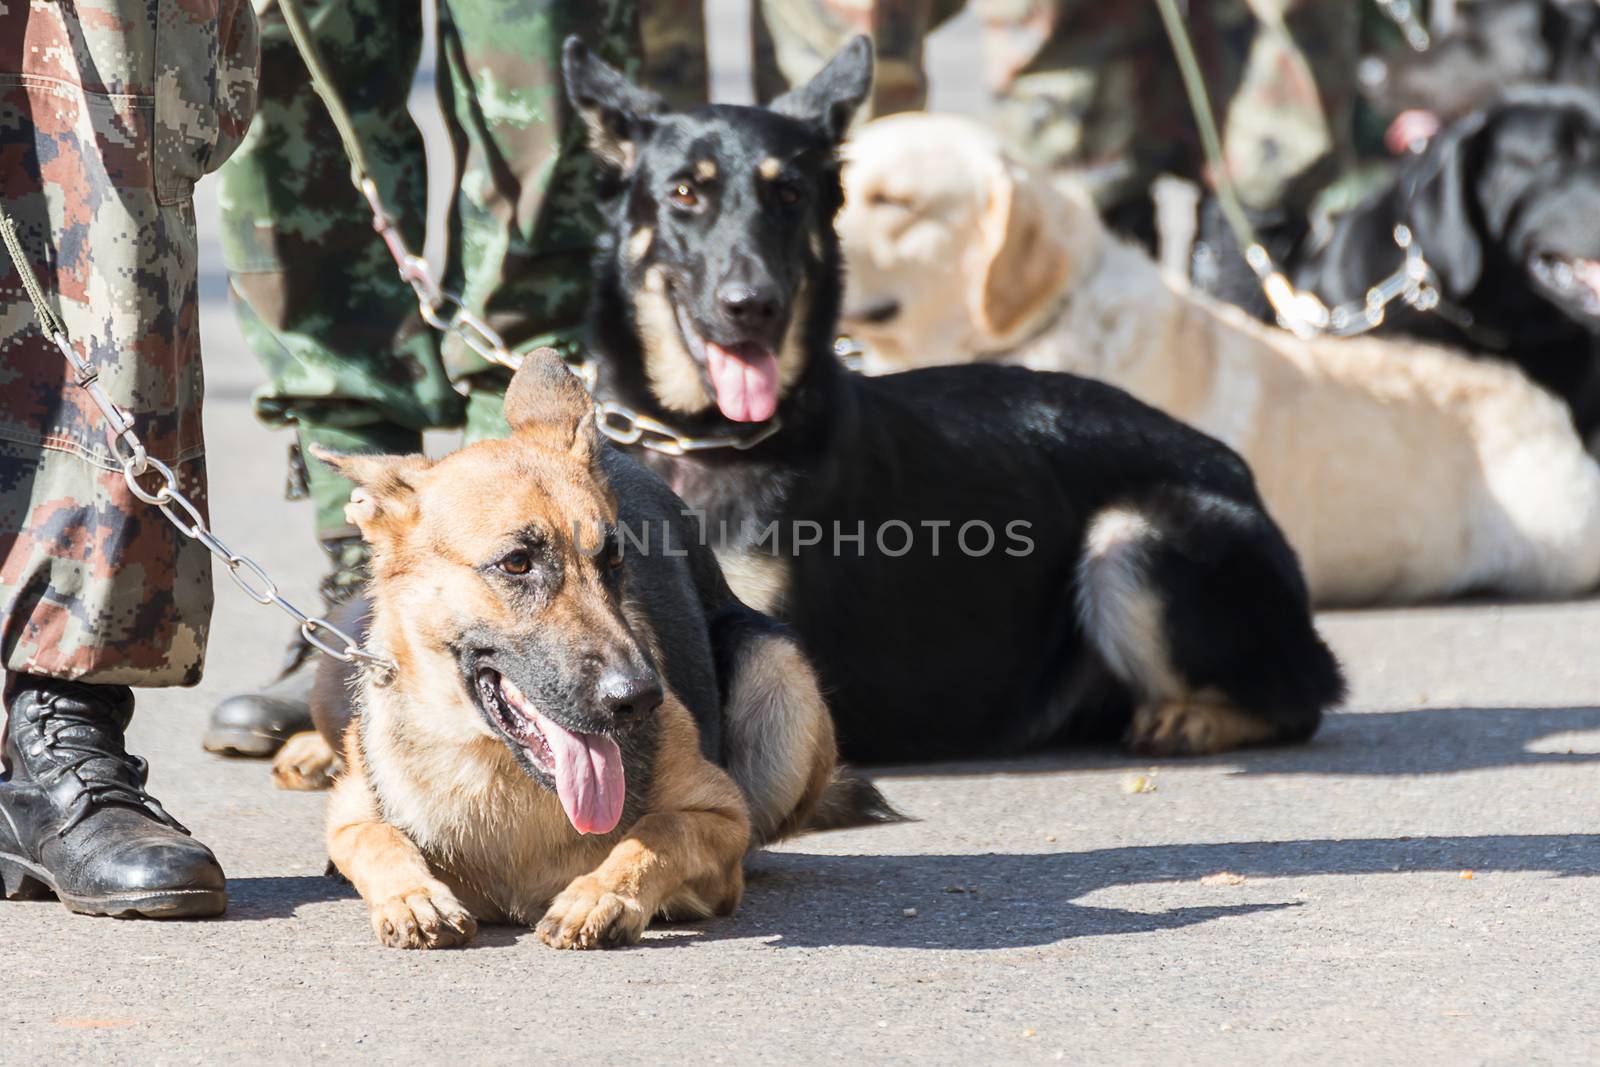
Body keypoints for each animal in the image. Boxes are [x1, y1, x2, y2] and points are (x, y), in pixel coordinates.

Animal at [296, 355, 896, 953]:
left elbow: (660, 829)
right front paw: (413, 896)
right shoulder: (351, 814)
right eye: (517, 563)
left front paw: (602, 894)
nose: (640, 699)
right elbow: (375, 838)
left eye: (613, 561)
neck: (498, 770)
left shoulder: (722, 817)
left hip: (777, 664)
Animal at [556, 37, 1344, 764]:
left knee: (1301, 701)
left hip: (1130, 536)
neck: (702, 436)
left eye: (789, 197)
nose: (754, 307)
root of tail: (1235, 469)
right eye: (685, 194)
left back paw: (1192, 719)